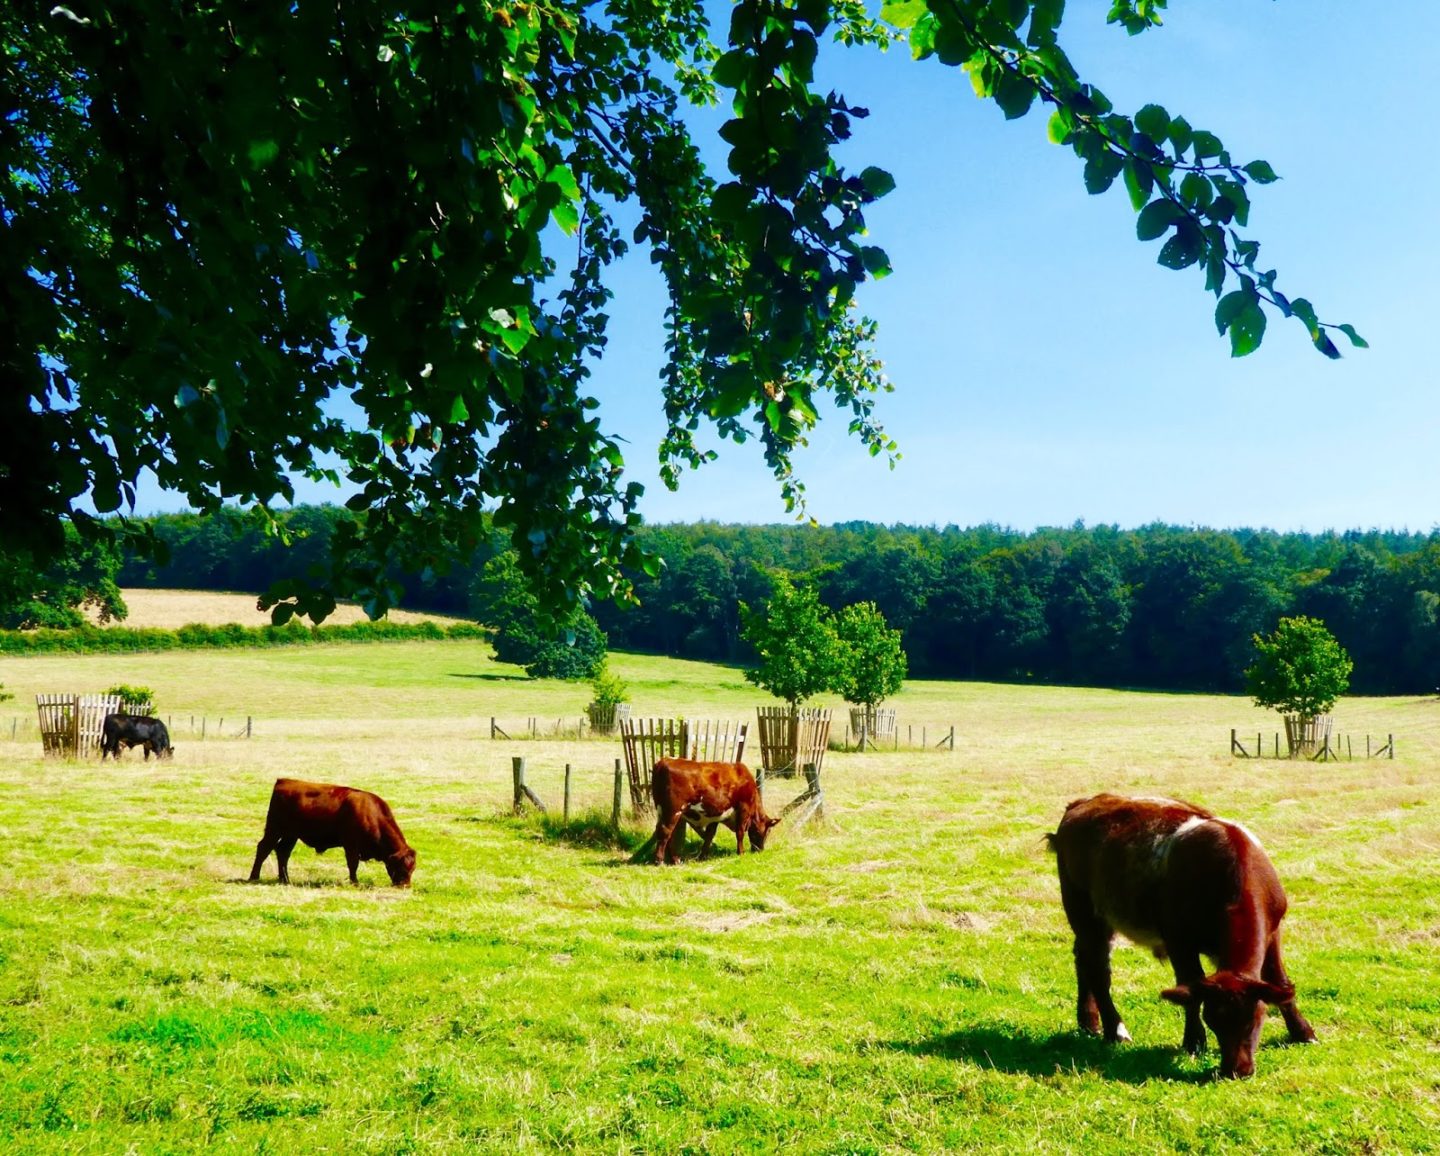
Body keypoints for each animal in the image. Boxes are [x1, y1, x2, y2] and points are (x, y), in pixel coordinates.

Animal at [247, 783, 414, 892]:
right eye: (401, 866)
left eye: (412, 868)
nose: (405, 886)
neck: (371, 814)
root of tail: (281, 782)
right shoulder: (351, 845)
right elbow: (353, 864)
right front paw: (355, 882)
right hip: (274, 830)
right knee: (264, 848)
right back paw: (254, 877)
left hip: (291, 835)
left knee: (283, 852)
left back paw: (285, 879)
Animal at [653, 760, 783, 869]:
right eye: (768, 831)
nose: (760, 850)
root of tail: (664, 761)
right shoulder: (743, 809)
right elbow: (740, 832)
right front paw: (741, 852)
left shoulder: (715, 816)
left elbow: (709, 835)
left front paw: (703, 856)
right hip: (673, 811)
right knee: (665, 832)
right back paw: (660, 861)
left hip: (662, 811)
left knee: (666, 834)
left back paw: (674, 860)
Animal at [1048, 788, 1319, 1082]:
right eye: (1213, 1020)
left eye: (1256, 1018)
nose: (1236, 1070)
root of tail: (1084, 802)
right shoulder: (1178, 939)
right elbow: (1190, 985)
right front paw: (1194, 1041)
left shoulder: (1273, 930)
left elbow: (1279, 980)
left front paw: (1303, 1032)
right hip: (1083, 910)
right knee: (1098, 971)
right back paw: (1115, 1030)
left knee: (1083, 960)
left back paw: (1089, 1022)